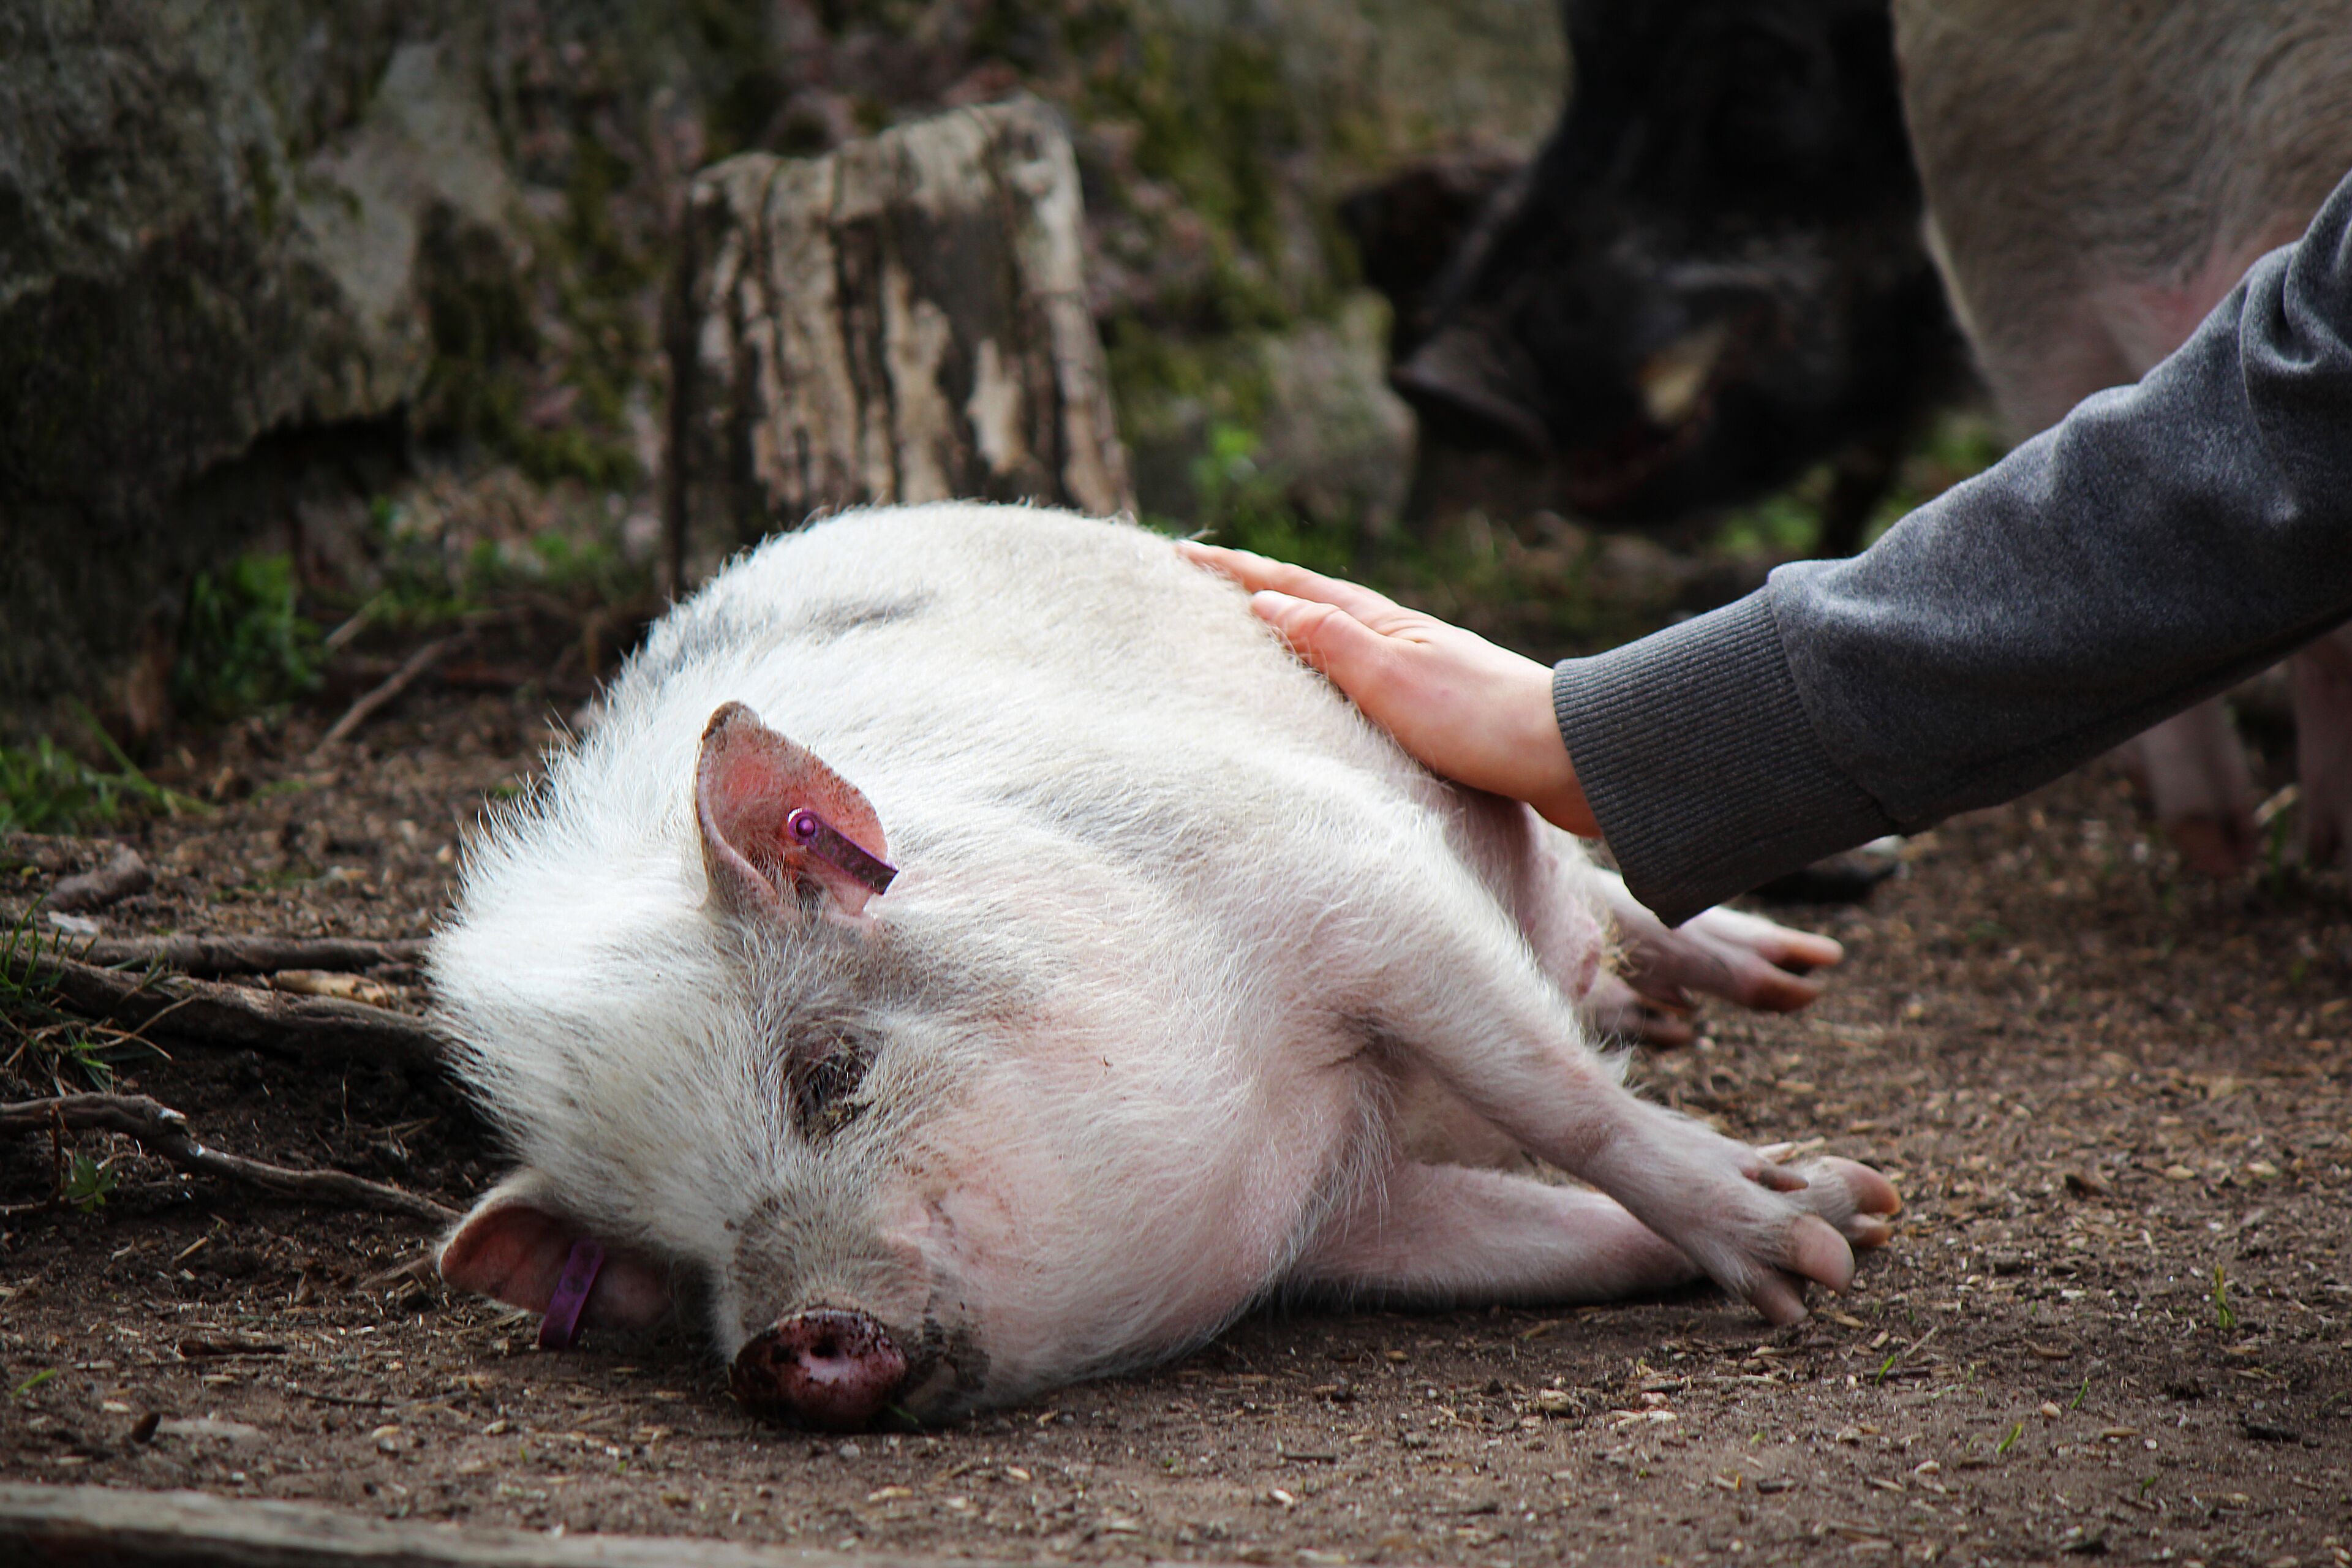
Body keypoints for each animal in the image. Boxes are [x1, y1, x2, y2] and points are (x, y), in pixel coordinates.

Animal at [432, 504, 1898, 1428]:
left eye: (828, 1073)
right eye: (678, 1262)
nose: (787, 1342)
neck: (1264, 1125)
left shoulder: (1344, 869)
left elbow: (1560, 1098)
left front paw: (1822, 1229)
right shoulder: (1346, 1223)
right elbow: (1550, 1239)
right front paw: (1849, 1215)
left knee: (1600, 894)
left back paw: (1790, 967)